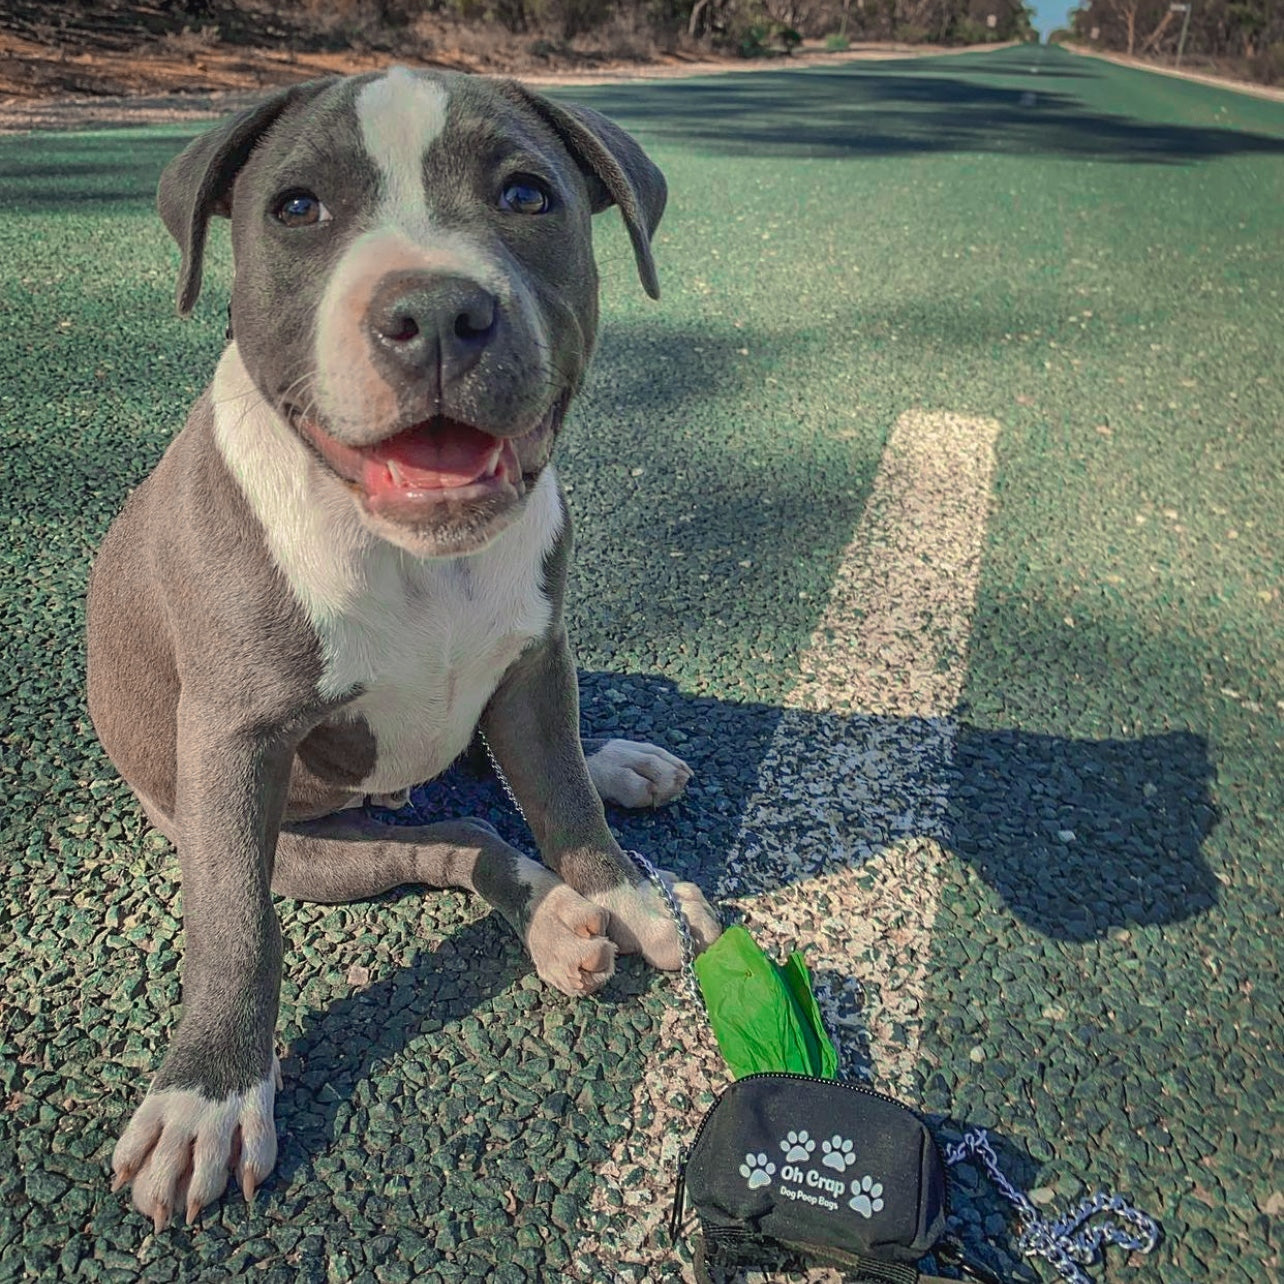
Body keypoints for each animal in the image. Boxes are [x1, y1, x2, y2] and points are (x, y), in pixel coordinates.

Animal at [87, 65, 724, 1227]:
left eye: (526, 195)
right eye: (296, 208)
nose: (433, 310)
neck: (415, 554)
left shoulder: (534, 662)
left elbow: (562, 795)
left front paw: (622, 889)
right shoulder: (234, 742)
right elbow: (234, 931)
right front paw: (209, 1096)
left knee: (502, 783)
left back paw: (615, 783)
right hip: (309, 849)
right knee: (451, 838)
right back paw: (550, 917)